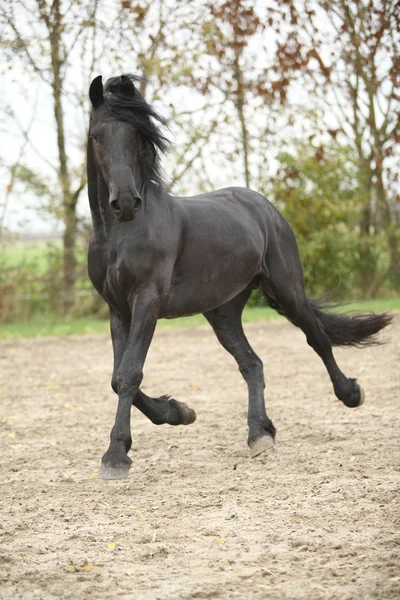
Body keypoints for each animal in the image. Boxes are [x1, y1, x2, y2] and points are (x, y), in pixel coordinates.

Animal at [86, 75, 390, 480]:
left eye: (136, 134)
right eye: (96, 136)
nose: (124, 203)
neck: (120, 235)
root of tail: (265, 206)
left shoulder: (147, 301)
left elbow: (129, 374)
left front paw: (116, 455)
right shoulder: (118, 309)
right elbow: (116, 377)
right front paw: (179, 412)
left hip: (287, 291)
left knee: (317, 339)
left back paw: (351, 394)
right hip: (223, 311)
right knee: (252, 362)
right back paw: (260, 433)